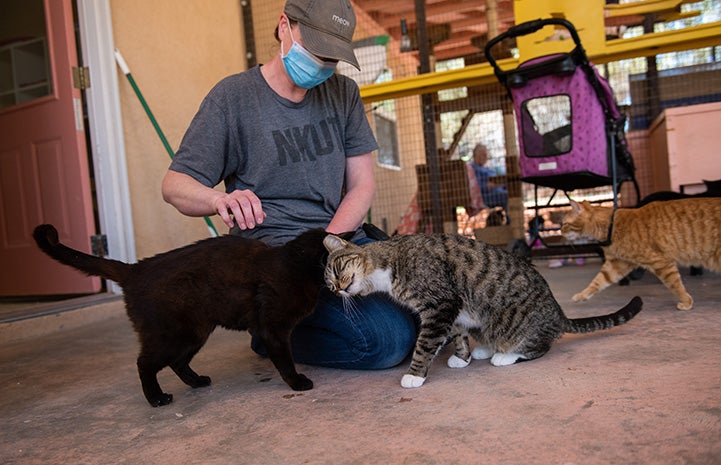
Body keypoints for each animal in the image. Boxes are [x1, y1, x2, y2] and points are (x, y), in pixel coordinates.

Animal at [33, 225, 348, 406]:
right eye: (336, 265)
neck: (293, 266)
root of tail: (136, 269)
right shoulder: (273, 330)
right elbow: (284, 361)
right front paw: (297, 382)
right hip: (174, 335)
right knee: (144, 363)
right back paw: (157, 399)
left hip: (195, 333)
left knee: (177, 362)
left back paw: (197, 382)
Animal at [320, 232, 640, 388]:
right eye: (331, 288)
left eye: (336, 270)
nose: (339, 290)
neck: (388, 263)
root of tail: (559, 314)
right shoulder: (453, 310)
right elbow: (458, 334)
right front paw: (463, 358)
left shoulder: (440, 304)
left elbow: (425, 344)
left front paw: (415, 375)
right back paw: (485, 349)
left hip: (517, 326)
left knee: (540, 347)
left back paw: (505, 355)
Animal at [560, 198, 720, 310]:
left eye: (564, 224)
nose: (560, 232)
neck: (611, 226)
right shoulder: (617, 265)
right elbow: (597, 282)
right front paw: (581, 295)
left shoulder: (661, 263)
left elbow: (675, 285)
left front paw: (686, 301)